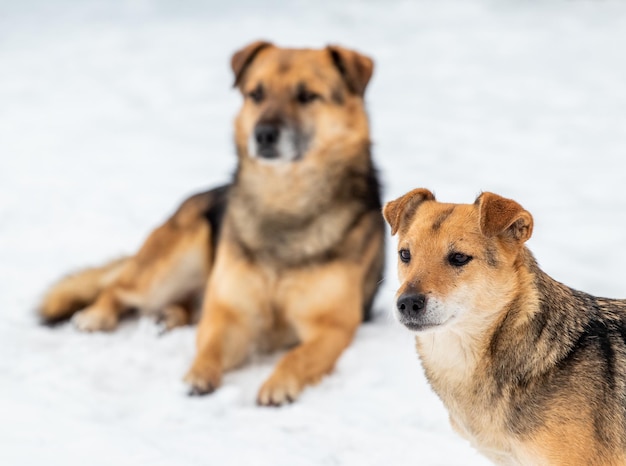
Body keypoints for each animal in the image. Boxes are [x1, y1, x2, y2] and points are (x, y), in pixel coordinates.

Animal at [37, 41, 386, 406]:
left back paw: (168, 316)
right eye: (256, 94)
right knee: (118, 288)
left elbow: (298, 355)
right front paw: (198, 375)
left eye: (307, 96)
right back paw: (97, 315)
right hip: (171, 265)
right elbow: (211, 345)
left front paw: (278, 383)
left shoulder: (332, 327)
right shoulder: (231, 314)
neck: (283, 202)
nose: (263, 135)